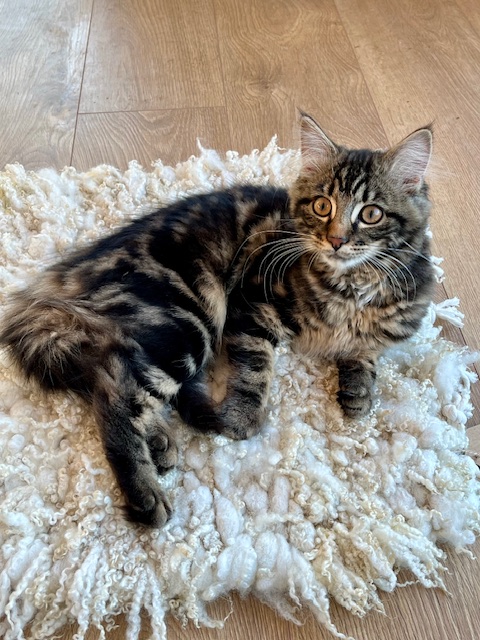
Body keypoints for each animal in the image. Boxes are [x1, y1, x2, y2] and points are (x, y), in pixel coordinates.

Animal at [0, 113, 435, 526]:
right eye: (322, 206)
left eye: (371, 214)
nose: (337, 241)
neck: (352, 288)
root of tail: (70, 277)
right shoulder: (253, 304)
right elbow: (254, 374)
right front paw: (239, 420)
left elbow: (366, 352)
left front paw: (359, 390)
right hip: (190, 318)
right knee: (117, 392)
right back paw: (148, 491)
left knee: (109, 372)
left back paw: (159, 441)